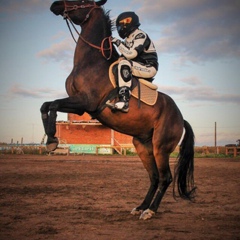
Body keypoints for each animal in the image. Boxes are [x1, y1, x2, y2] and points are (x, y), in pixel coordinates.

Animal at [40, 0, 196, 220]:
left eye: (82, 2)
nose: (55, 5)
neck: (91, 61)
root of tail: (180, 118)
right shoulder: (78, 105)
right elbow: (46, 105)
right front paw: (50, 139)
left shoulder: (84, 103)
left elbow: (53, 105)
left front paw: (53, 140)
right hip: (143, 145)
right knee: (154, 177)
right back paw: (140, 206)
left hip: (161, 146)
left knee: (165, 178)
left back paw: (150, 210)